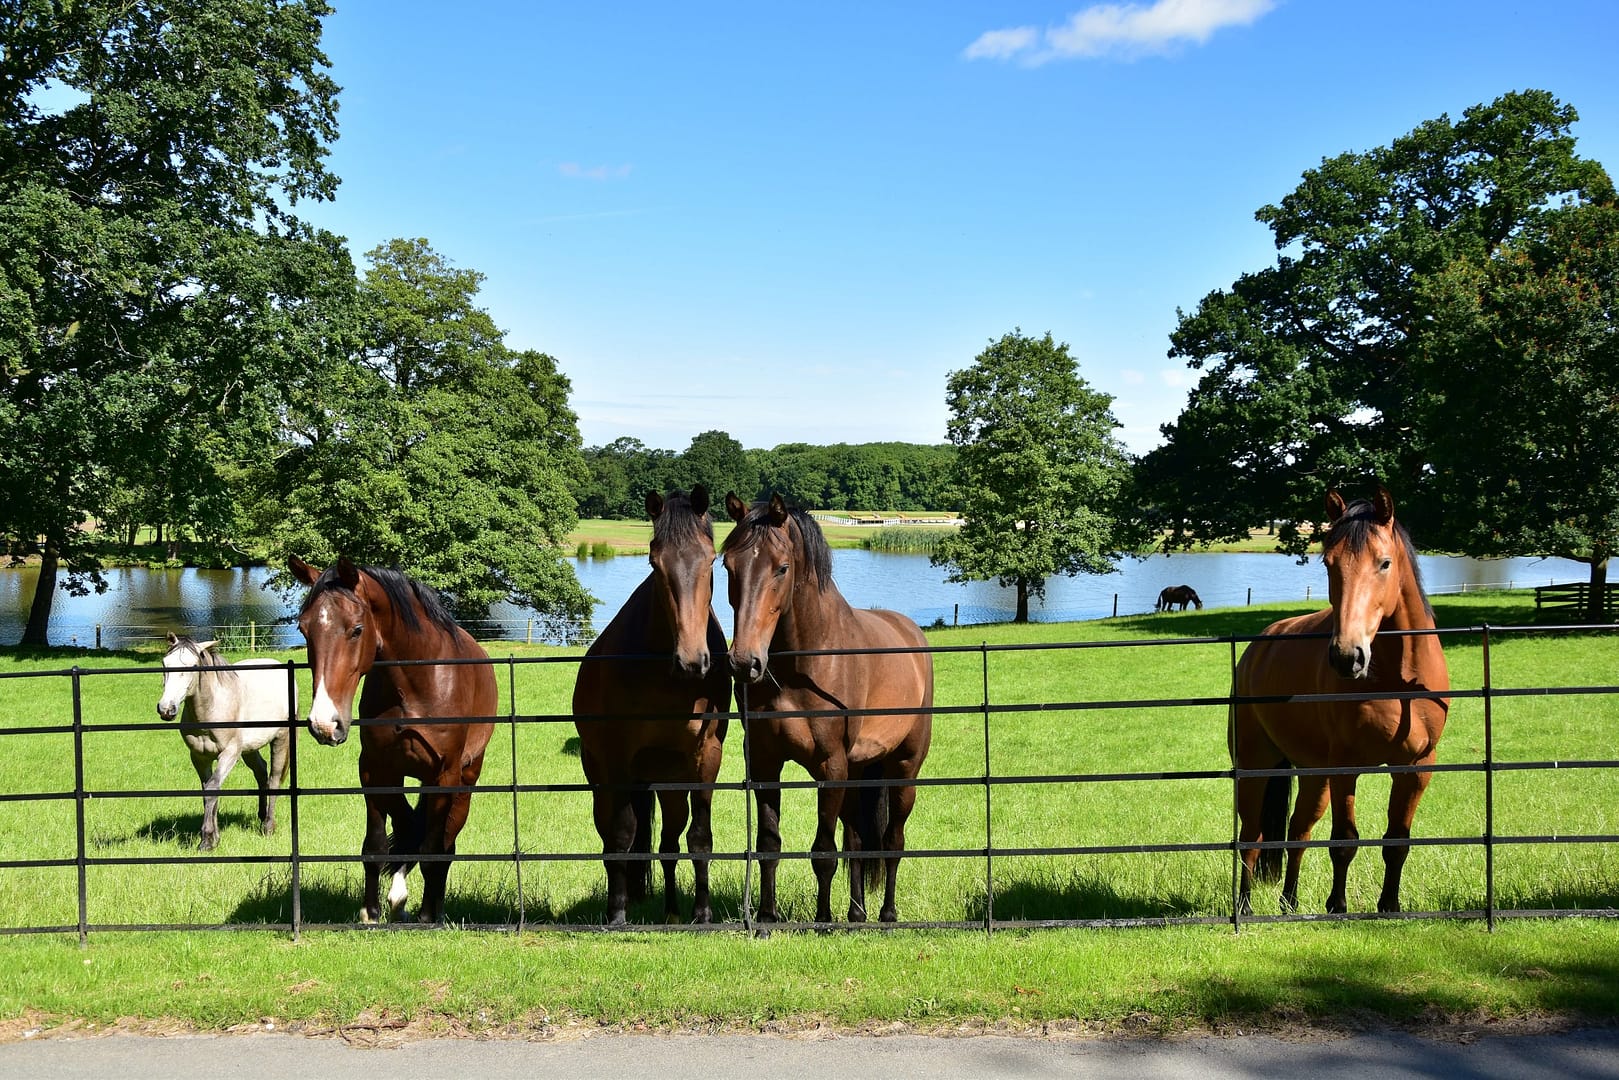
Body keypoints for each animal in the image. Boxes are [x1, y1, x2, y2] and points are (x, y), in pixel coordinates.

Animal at [156, 633, 293, 851]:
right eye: (164, 663)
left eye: (192, 666)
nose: (166, 708)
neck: (212, 709)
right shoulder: (199, 757)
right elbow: (208, 792)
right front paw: (214, 837)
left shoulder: (229, 754)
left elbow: (213, 788)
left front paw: (206, 840)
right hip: (249, 749)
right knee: (261, 772)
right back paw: (261, 816)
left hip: (281, 739)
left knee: (274, 778)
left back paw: (268, 826)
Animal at [288, 556, 498, 924]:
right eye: (304, 630)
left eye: (357, 629)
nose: (324, 723)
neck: (415, 683)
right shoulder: (375, 769)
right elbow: (381, 841)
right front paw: (371, 912)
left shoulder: (444, 775)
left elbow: (432, 848)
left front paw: (426, 916)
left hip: (465, 781)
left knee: (447, 843)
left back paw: (433, 908)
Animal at [573, 486, 731, 925]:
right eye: (654, 563)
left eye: (710, 560)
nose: (692, 661)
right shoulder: (617, 760)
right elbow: (622, 837)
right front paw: (617, 914)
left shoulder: (706, 756)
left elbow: (699, 838)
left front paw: (702, 914)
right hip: (604, 777)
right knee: (613, 837)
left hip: (670, 782)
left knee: (669, 843)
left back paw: (673, 911)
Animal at [722, 492, 934, 924]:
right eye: (728, 565)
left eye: (782, 567)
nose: (744, 662)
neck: (802, 667)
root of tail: (912, 634)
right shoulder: (766, 764)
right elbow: (770, 844)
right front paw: (766, 917)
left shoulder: (830, 766)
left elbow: (823, 852)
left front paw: (822, 920)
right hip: (859, 771)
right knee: (858, 839)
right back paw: (856, 913)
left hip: (903, 769)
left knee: (893, 840)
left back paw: (887, 914)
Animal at [1231, 486, 1450, 915]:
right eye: (1329, 563)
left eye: (1384, 563)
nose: (1348, 656)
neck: (1399, 681)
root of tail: (1256, 648)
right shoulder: (1346, 767)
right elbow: (1344, 840)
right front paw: (1337, 905)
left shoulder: (1416, 768)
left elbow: (1397, 841)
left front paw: (1389, 905)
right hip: (1256, 766)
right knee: (1252, 837)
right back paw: (1245, 908)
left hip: (1313, 774)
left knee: (1298, 831)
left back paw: (1289, 903)